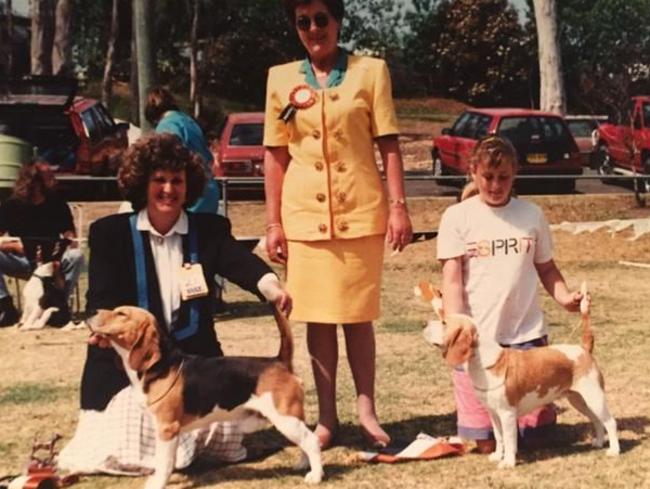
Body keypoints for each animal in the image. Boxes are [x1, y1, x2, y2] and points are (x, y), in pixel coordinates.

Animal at [88, 304, 324, 484]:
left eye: (121, 314)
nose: (91, 312)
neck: (161, 365)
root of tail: (278, 362)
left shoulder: (167, 429)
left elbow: (164, 463)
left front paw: (157, 484)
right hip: (290, 420)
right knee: (305, 440)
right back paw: (303, 464)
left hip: (285, 419)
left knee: (312, 440)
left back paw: (315, 476)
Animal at [416, 282, 616, 468]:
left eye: (444, 323)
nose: (424, 324)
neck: (485, 362)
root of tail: (584, 349)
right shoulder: (493, 413)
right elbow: (499, 438)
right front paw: (498, 456)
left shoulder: (507, 414)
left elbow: (510, 440)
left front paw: (508, 462)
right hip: (579, 400)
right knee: (597, 420)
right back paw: (599, 443)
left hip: (594, 398)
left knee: (610, 422)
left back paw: (614, 451)